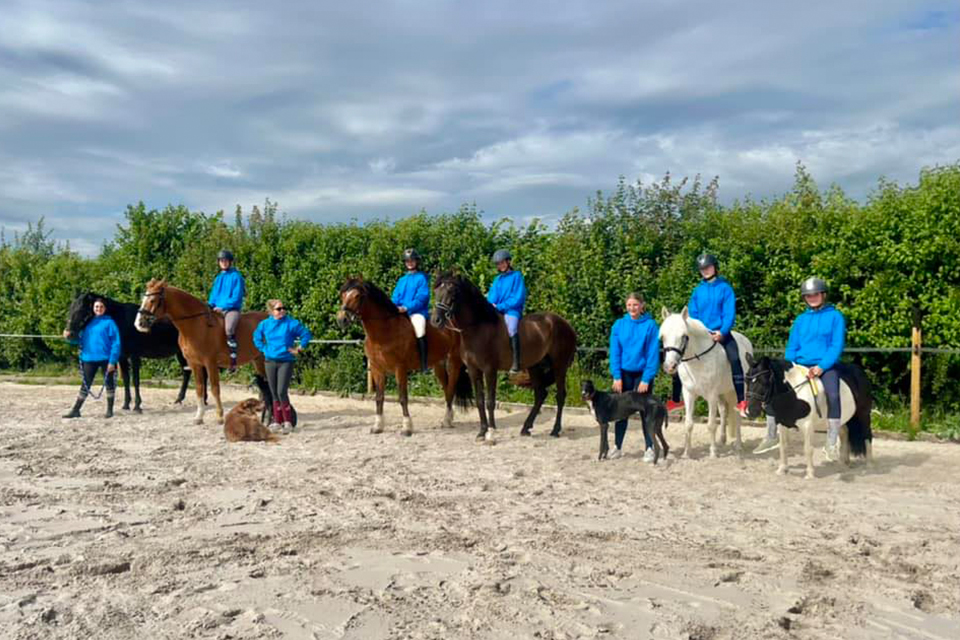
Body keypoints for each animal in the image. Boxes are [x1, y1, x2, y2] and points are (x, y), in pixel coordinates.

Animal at [65, 292, 201, 412]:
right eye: (71, 308)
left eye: (82, 310)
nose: (68, 334)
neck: (122, 321)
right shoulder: (122, 357)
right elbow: (126, 379)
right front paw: (126, 404)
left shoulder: (135, 356)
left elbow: (135, 380)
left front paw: (137, 405)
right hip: (181, 353)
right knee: (187, 372)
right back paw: (180, 399)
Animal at [133, 278, 272, 424]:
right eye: (144, 298)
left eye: (152, 300)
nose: (138, 324)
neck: (196, 325)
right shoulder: (195, 364)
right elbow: (199, 388)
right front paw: (199, 417)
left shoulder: (210, 363)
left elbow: (215, 388)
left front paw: (219, 416)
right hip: (258, 360)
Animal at [338, 278, 472, 438]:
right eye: (343, 294)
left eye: (357, 296)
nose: (342, 320)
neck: (384, 331)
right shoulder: (377, 369)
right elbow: (379, 398)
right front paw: (377, 426)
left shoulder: (400, 368)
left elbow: (402, 398)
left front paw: (407, 428)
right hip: (438, 364)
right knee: (446, 389)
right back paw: (448, 418)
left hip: (454, 361)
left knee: (451, 389)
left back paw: (447, 421)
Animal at [430, 272, 576, 442]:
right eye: (436, 292)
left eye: (452, 294)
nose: (436, 321)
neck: (477, 328)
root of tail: (566, 324)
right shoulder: (473, 370)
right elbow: (479, 401)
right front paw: (482, 431)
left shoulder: (490, 370)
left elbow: (490, 401)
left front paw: (491, 432)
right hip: (535, 367)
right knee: (540, 394)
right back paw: (526, 428)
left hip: (559, 366)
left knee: (560, 396)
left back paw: (555, 430)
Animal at [664, 308, 752, 458]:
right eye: (663, 337)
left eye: (683, 336)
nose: (670, 366)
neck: (698, 360)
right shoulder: (689, 394)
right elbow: (688, 424)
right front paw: (686, 453)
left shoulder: (711, 395)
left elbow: (711, 425)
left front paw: (713, 453)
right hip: (723, 392)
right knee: (724, 412)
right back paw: (722, 440)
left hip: (737, 391)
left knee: (737, 415)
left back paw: (738, 446)